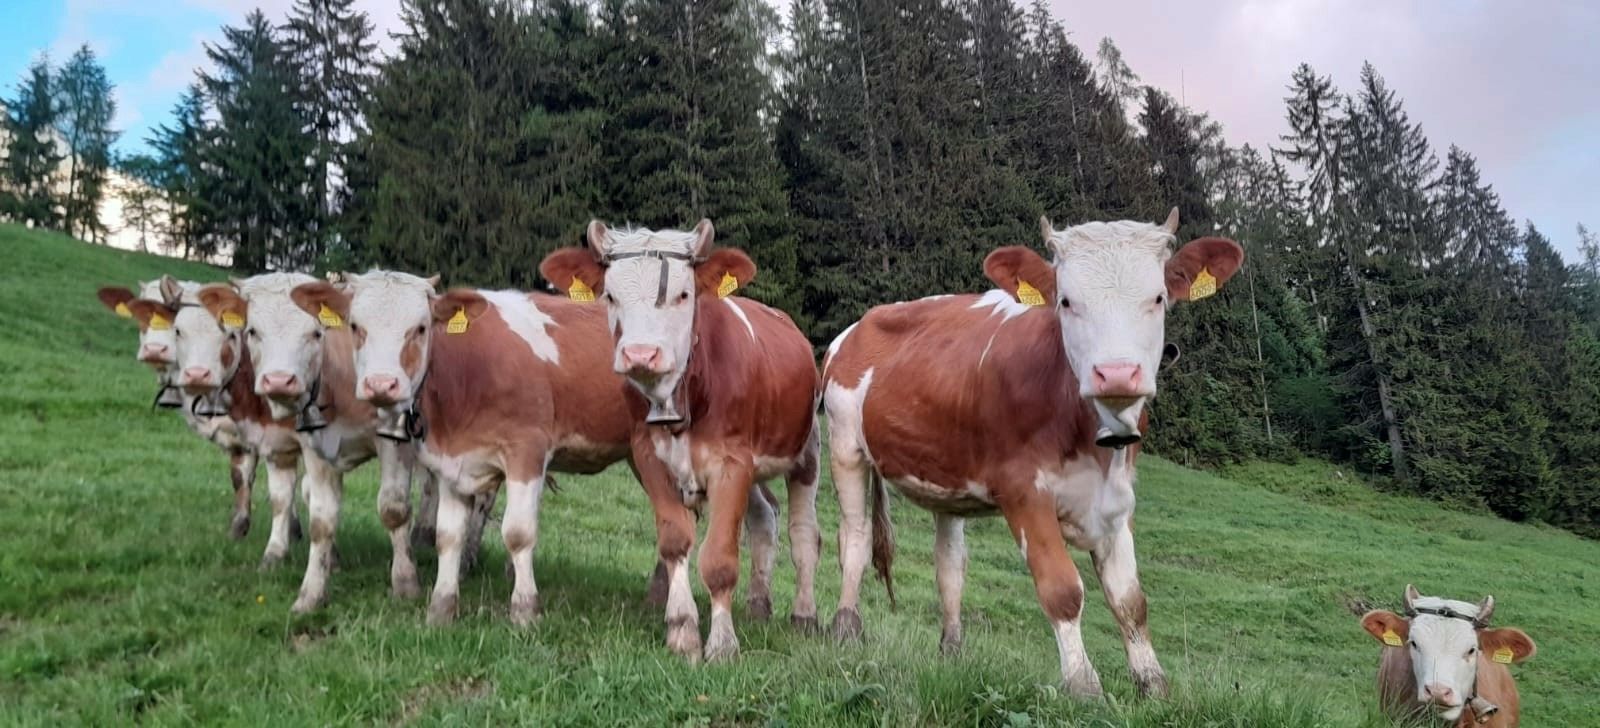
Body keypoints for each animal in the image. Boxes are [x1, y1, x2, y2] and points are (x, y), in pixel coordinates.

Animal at [100, 276, 265, 540]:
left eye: (227, 333)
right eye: (178, 329)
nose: (155, 350)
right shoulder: (239, 438)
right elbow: (241, 478)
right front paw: (238, 528)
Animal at [193, 274, 427, 612]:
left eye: (317, 333)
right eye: (253, 331)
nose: (279, 380)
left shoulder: (395, 442)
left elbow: (393, 509)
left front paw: (406, 583)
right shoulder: (304, 447)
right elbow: (308, 513)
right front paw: (303, 582)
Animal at [540, 219, 823, 662]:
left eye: (684, 294)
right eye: (610, 295)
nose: (641, 354)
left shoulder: (731, 464)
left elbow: (720, 558)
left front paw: (722, 645)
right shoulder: (649, 458)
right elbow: (675, 542)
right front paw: (682, 630)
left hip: (806, 451)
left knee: (805, 533)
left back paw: (804, 616)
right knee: (764, 518)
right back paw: (758, 605)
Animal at [818, 210, 1242, 697]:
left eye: (1158, 298)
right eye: (1066, 301)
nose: (1116, 373)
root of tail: (860, 324)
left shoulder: (1119, 500)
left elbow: (1130, 600)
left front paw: (1153, 686)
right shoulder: (1023, 492)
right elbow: (1062, 590)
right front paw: (1084, 686)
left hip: (946, 477)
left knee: (949, 564)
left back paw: (952, 652)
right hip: (845, 444)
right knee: (854, 538)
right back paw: (846, 628)